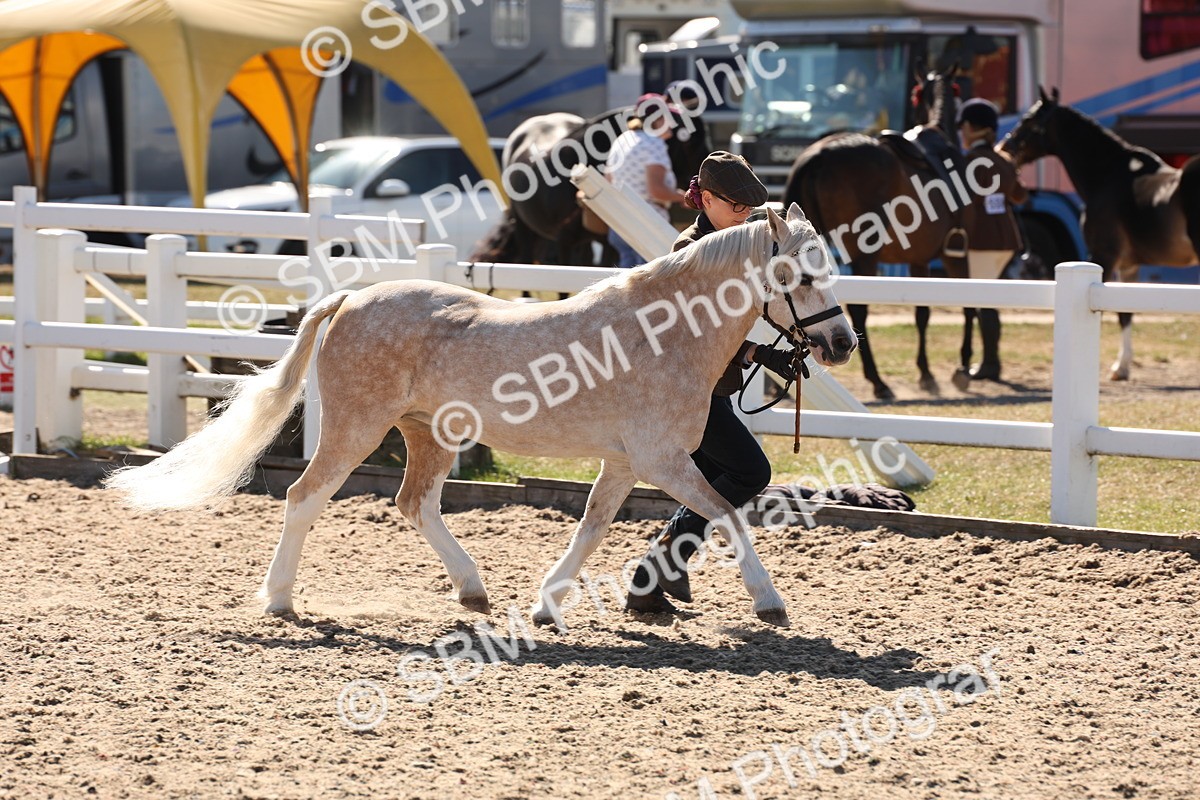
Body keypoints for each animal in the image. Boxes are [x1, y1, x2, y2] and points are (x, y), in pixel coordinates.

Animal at [105, 204, 857, 629]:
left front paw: (547, 604)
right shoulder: (662, 460)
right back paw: (281, 600)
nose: (842, 343)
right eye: (801, 275)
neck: (663, 332)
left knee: (413, 504)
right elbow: (729, 515)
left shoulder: (624, 462)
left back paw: (473, 590)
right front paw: (770, 603)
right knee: (304, 496)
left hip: (427, 434)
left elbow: (590, 528)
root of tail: (347, 300)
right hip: (356, 428)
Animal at [784, 65, 975, 400]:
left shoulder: (919, 260)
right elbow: (966, 306)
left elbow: (922, 314)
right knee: (859, 312)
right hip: (865, 254)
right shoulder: (953, 254)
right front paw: (961, 368)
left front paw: (926, 373)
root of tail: (818, 155)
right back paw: (878, 381)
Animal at [1000, 88, 1200, 380]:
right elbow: (1126, 314)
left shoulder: (1105, 255)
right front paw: (1122, 366)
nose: (1005, 148)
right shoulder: (1129, 265)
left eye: (1028, 119)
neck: (1109, 177)